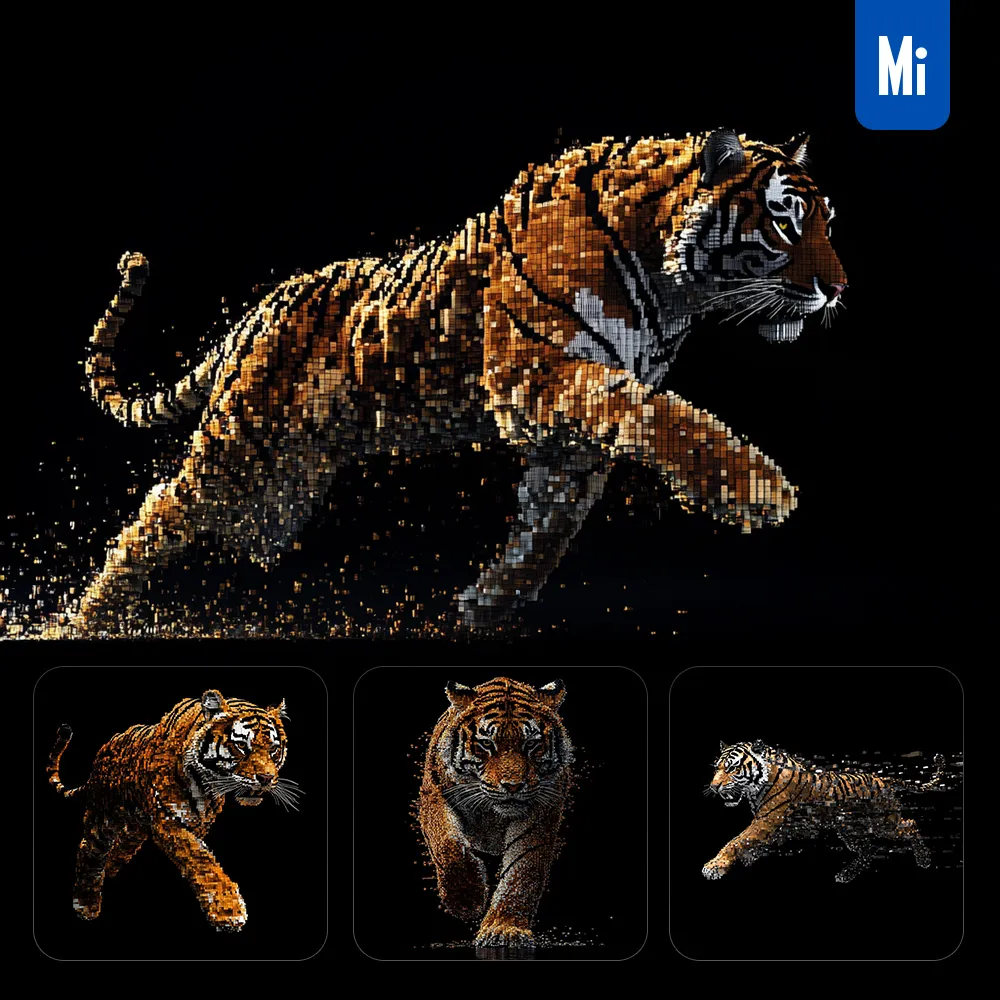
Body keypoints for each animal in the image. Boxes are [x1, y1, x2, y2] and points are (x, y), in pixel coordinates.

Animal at [46, 689, 301, 931]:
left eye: (274, 749)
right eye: (240, 746)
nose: (266, 778)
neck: (208, 786)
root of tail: (102, 753)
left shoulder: (197, 823)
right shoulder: (169, 819)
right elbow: (202, 860)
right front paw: (230, 911)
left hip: (136, 825)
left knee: (122, 845)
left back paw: (109, 871)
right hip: (104, 817)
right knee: (88, 850)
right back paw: (85, 904)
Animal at [67, 127, 846, 633]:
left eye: (829, 222)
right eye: (784, 220)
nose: (839, 290)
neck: (673, 287)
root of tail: (260, 310)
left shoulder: (568, 439)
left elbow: (547, 528)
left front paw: (485, 607)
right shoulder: (538, 375)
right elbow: (664, 416)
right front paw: (756, 489)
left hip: (281, 491)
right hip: (240, 450)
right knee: (159, 509)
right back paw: (77, 619)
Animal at [418, 677, 573, 949]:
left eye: (531, 744)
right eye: (486, 744)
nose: (512, 786)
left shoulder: (540, 810)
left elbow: (521, 873)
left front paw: (504, 929)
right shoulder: (434, 795)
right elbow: (447, 844)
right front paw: (466, 900)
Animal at [703, 741, 946, 883]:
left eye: (732, 768)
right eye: (717, 768)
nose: (713, 787)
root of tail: (883, 779)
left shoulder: (766, 820)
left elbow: (736, 840)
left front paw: (715, 866)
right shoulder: (777, 826)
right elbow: (751, 842)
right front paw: (749, 856)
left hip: (883, 823)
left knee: (910, 824)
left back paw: (924, 860)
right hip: (850, 829)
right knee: (867, 850)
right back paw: (846, 874)